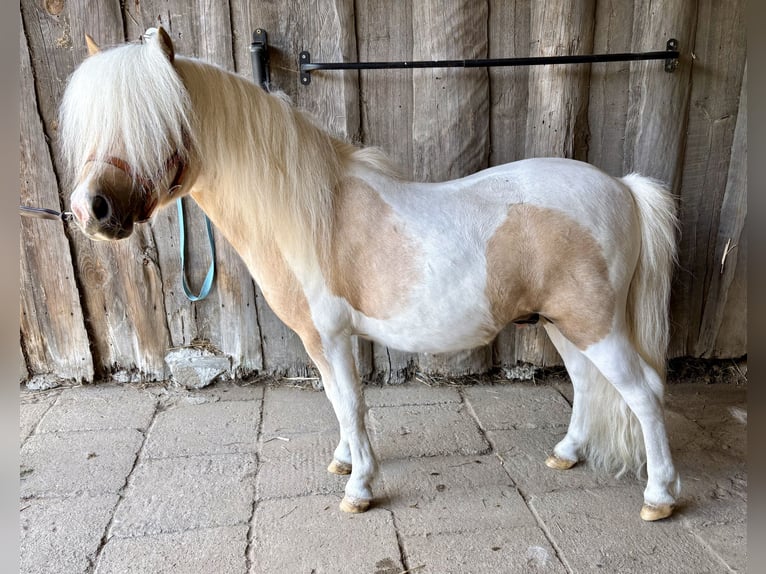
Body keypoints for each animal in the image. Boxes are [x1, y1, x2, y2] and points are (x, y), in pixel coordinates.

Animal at [60, 27, 680, 521]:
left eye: (150, 121)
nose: (91, 210)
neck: (307, 212)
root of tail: (623, 188)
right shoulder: (322, 342)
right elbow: (339, 402)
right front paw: (343, 462)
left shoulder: (330, 336)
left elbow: (351, 404)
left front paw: (359, 488)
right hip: (562, 324)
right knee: (588, 385)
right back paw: (567, 454)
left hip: (594, 326)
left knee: (644, 393)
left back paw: (659, 497)